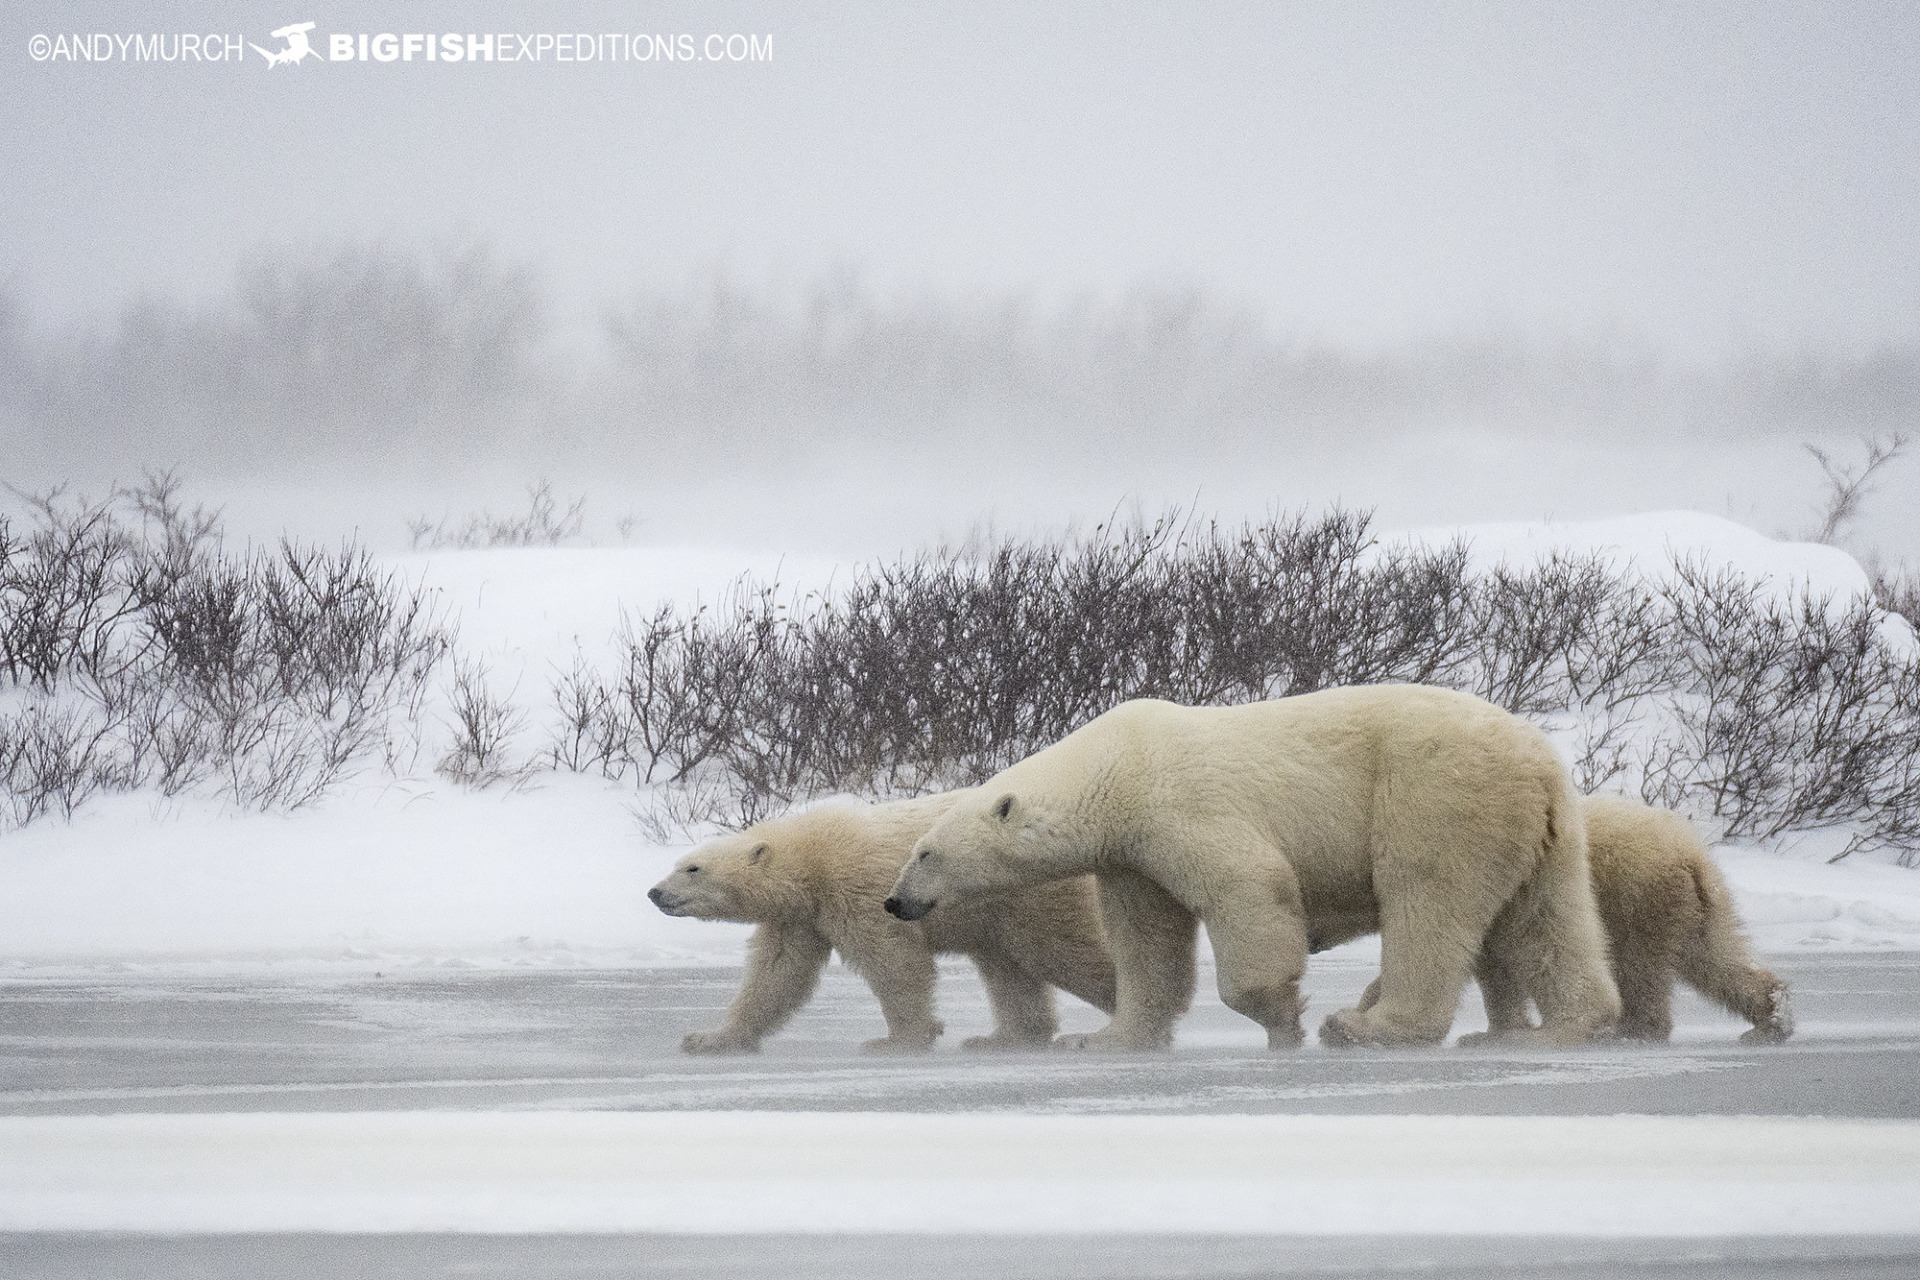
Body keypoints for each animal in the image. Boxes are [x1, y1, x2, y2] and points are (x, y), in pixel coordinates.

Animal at [647, 791, 1117, 1055]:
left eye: (692, 869)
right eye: (679, 864)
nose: (654, 893)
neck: (812, 857)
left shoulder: (860, 889)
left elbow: (894, 961)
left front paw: (898, 1040)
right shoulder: (802, 917)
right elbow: (777, 974)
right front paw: (710, 1039)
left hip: (1030, 892)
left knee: (1060, 950)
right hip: (996, 909)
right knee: (1007, 965)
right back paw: (1001, 1038)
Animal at [886, 686, 1622, 1050]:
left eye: (925, 852)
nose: (895, 902)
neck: (1116, 769)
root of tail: (1537, 759)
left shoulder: (1182, 806)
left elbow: (1247, 887)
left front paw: (1281, 1017)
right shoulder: (1133, 856)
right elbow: (1146, 940)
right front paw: (1104, 1037)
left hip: (1436, 793)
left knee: (1426, 901)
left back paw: (1366, 1027)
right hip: (1539, 827)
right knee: (1546, 917)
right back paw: (1565, 1026)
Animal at [1319, 794, 1794, 1045]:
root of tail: (1690, 855)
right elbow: (1495, 968)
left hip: (1633, 893)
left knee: (1637, 964)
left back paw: (1632, 1029)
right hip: (1693, 904)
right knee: (1714, 957)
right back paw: (1771, 1018)